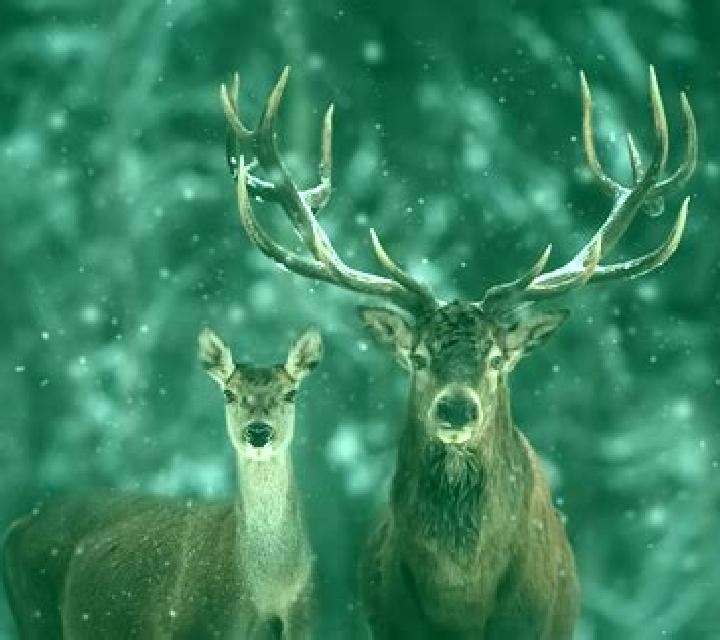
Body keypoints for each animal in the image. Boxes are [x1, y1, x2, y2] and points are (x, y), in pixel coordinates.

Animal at [3, 325, 323, 640]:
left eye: (291, 393)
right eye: (229, 393)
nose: (258, 432)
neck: (267, 586)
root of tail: (19, 524)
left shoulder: (303, 621)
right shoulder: (200, 626)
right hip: (36, 616)